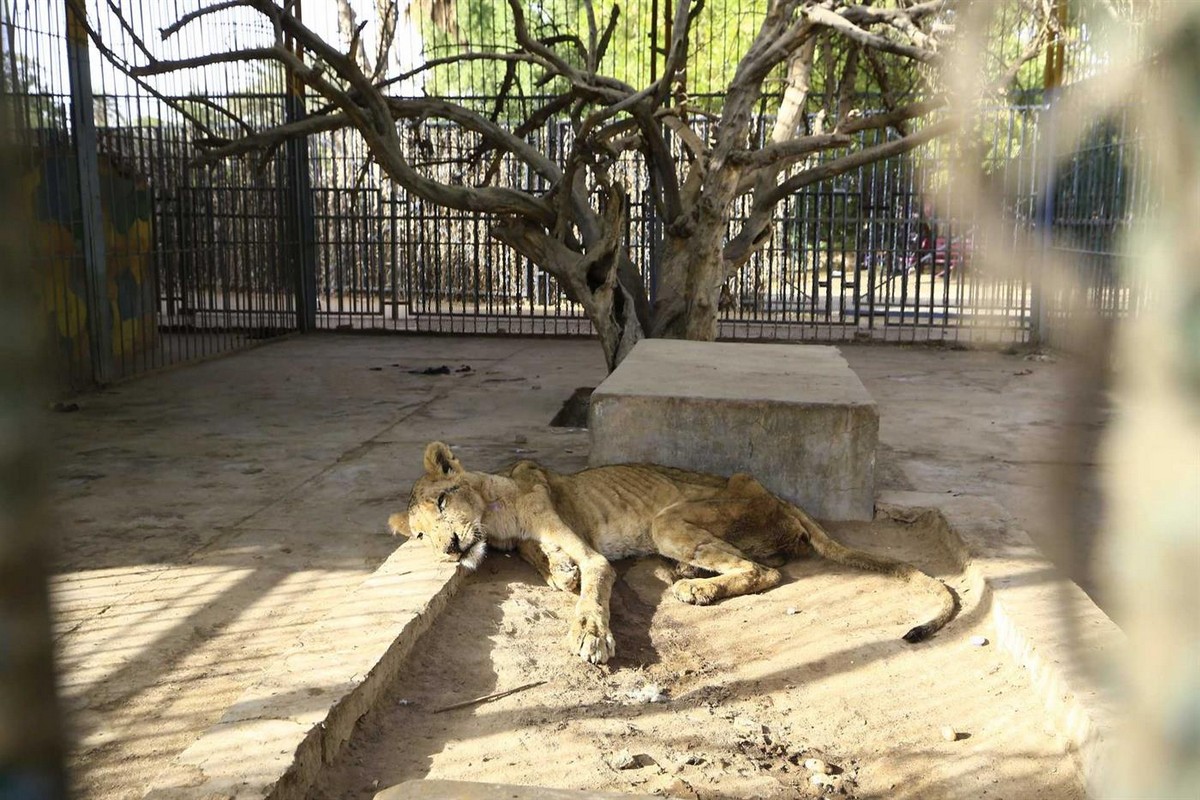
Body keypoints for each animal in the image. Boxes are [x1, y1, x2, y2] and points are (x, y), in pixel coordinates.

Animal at [391, 441, 955, 666]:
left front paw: (590, 634)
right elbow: (542, 561)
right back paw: (683, 572)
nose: (448, 547)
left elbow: (591, 586)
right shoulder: (523, 539)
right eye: (417, 536)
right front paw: (560, 572)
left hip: (671, 519)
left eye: (441, 502)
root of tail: (779, 496)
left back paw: (695, 588)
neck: (496, 513)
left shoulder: (586, 544)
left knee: (764, 571)